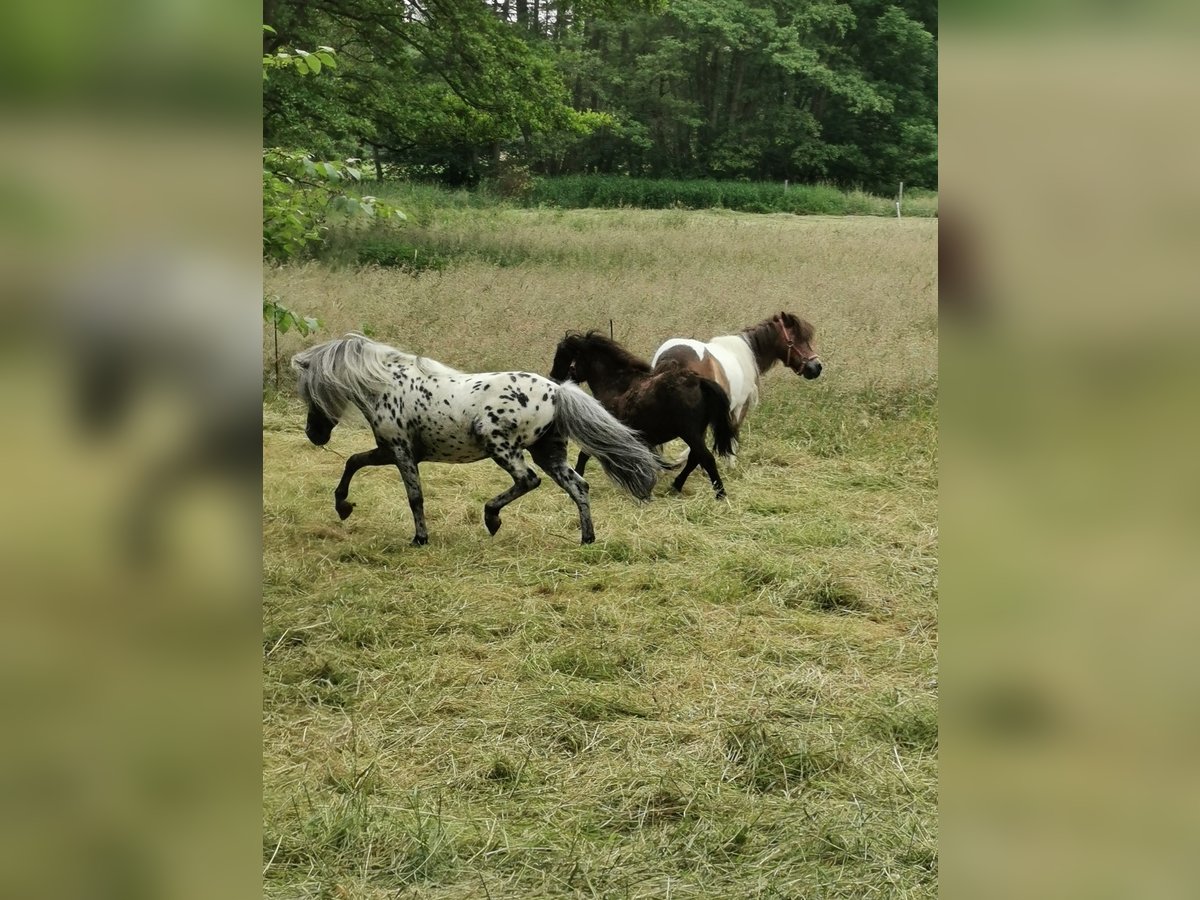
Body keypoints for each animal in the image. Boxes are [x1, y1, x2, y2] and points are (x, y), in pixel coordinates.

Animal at [291, 336, 667, 547]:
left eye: (313, 392)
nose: (314, 434)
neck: (387, 386)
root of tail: (557, 391)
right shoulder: (388, 450)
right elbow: (353, 461)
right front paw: (343, 507)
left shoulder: (401, 451)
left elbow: (414, 496)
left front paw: (420, 539)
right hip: (548, 452)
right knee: (578, 485)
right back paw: (587, 538)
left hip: (501, 446)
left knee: (528, 480)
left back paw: (492, 519)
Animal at [549, 333, 734, 501]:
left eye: (563, 356)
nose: (553, 379)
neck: (615, 385)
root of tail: (698, 382)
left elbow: (583, 456)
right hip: (696, 433)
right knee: (694, 458)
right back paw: (675, 487)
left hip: (690, 433)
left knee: (706, 458)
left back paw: (720, 494)